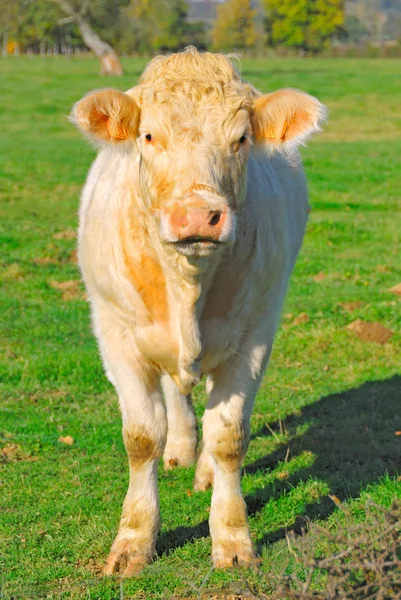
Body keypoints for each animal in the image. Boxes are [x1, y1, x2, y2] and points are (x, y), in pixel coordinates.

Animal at [71, 48, 324, 576]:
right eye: (149, 135)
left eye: (241, 138)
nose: (197, 217)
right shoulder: (116, 334)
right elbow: (141, 436)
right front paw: (133, 541)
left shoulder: (253, 336)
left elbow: (228, 435)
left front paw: (232, 540)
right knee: (176, 392)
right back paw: (182, 449)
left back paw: (203, 467)